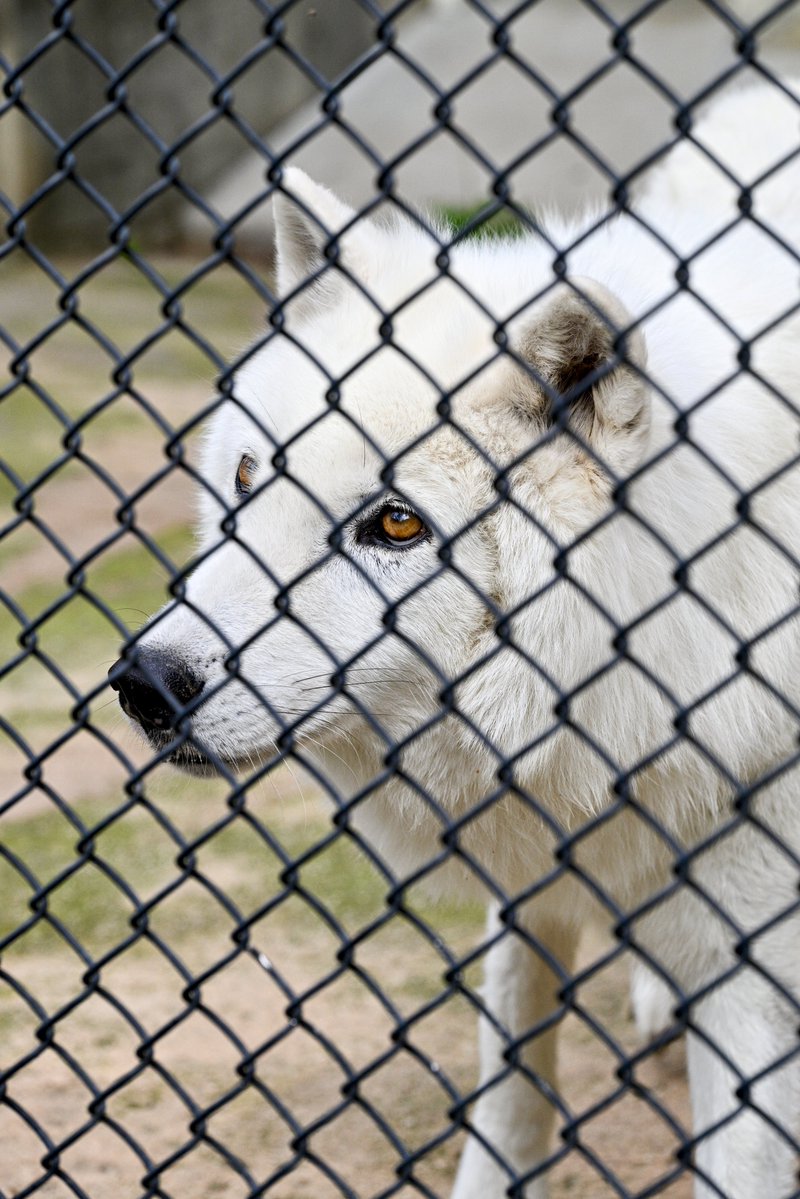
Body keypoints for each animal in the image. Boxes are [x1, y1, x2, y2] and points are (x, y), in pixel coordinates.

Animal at [111, 82, 800, 1198]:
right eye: (251, 477)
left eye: (395, 524)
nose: (145, 683)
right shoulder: (536, 879)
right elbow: (510, 1078)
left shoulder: (752, 977)